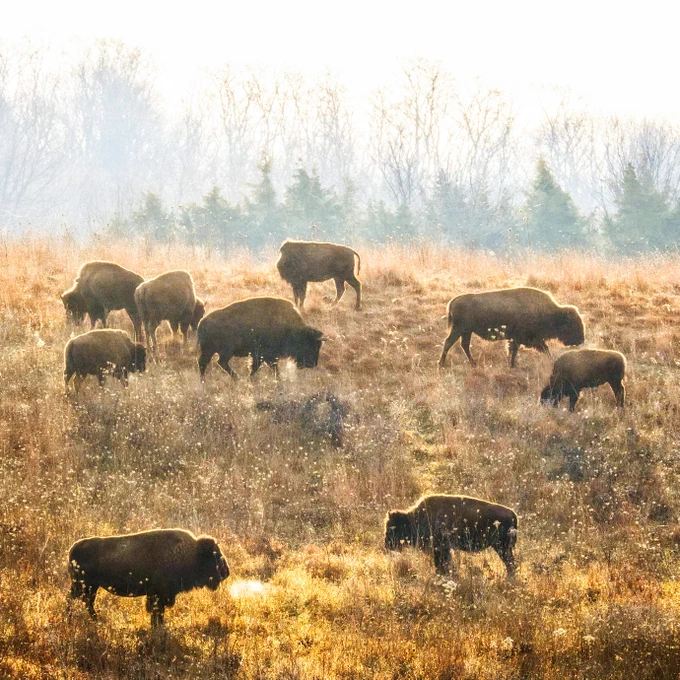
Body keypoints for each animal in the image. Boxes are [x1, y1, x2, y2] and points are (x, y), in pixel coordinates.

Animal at [68, 528, 229, 627]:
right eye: (215, 555)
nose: (226, 572)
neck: (192, 553)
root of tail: (73, 548)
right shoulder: (159, 595)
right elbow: (157, 612)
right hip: (84, 586)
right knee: (77, 600)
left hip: (90, 587)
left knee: (86, 602)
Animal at [384, 494, 518, 576]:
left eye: (392, 528)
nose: (387, 546)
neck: (414, 519)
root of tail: (513, 514)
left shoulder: (440, 548)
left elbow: (441, 564)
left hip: (502, 547)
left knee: (511, 564)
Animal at [438, 287, 585, 369]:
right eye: (572, 324)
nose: (581, 340)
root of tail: (454, 301)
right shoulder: (524, 339)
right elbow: (533, 349)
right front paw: (512, 365)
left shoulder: (519, 339)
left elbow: (514, 350)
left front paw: (511, 364)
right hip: (459, 329)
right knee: (448, 342)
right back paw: (441, 364)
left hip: (466, 331)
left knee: (464, 345)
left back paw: (473, 364)